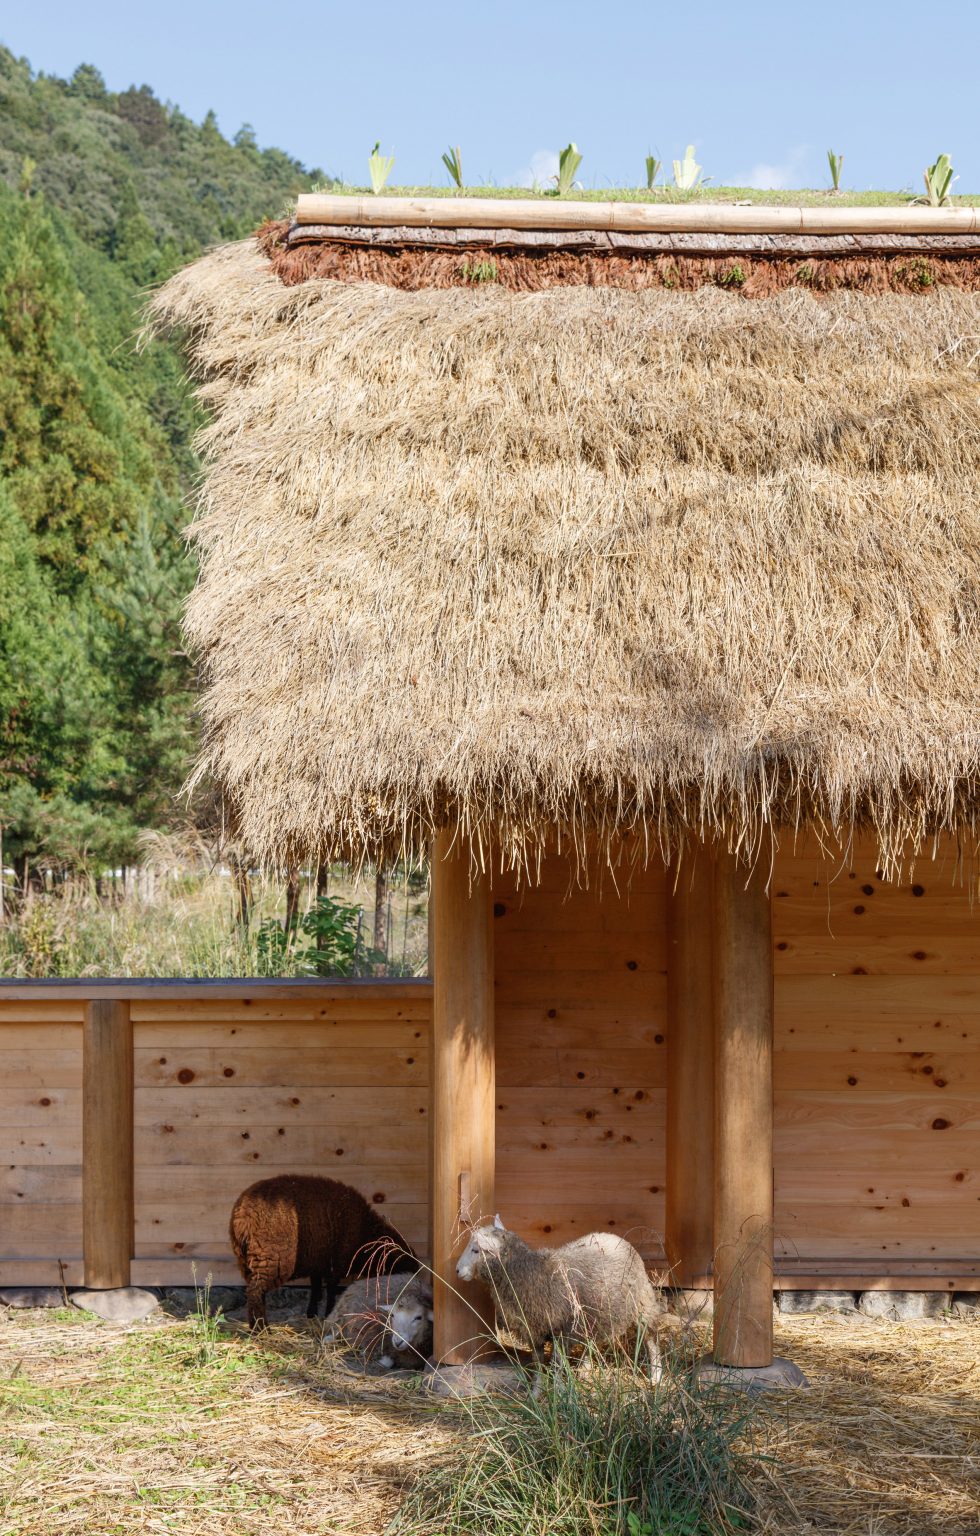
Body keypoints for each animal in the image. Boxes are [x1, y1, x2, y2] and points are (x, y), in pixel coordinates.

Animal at [229, 1174, 418, 1329]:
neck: (365, 1234)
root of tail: (242, 1216)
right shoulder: (336, 1261)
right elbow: (331, 1289)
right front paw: (328, 1313)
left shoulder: (319, 1259)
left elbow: (316, 1286)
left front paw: (311, 1313)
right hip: (270, 1257)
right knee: (255, 1292)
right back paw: (260, 1328)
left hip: (247, 1260)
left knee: (255, 1292)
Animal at [456, 1215, 680, 1379]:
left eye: (476, 1250)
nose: (457, 1270)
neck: (529, 1273)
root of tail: (614, 1236)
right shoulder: (534, 1330)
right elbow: (539, 1363)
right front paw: (537, 1393)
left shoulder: (563, 1330)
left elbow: (556, 1365)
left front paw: (559, 1393)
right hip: (593, 1313)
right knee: (592, 1340)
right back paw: (586, 1368)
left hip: (641, 1303)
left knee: (650, 1338)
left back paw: (656, 1377)